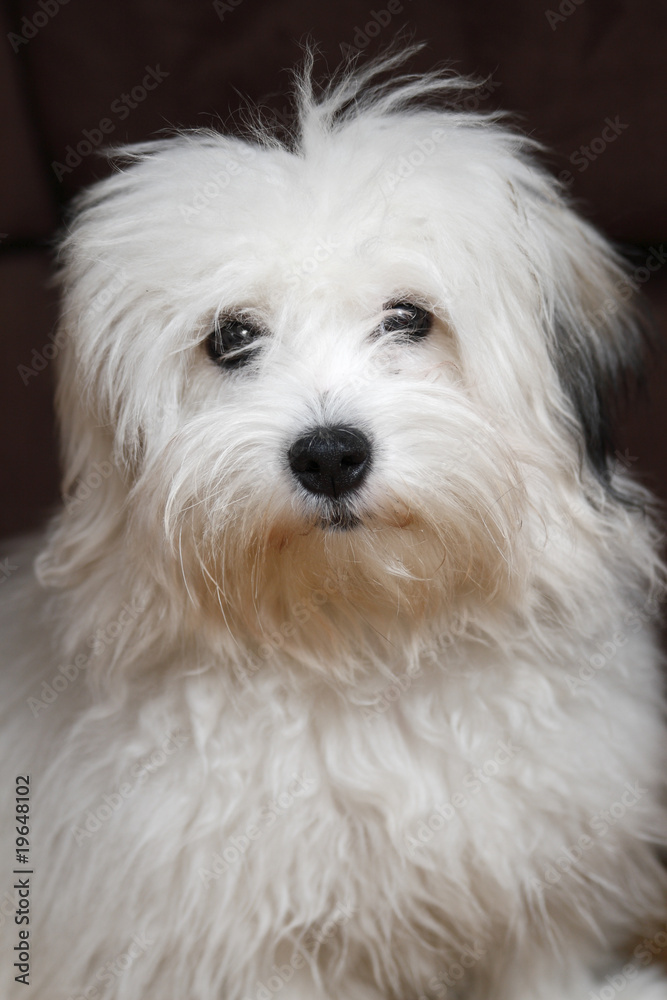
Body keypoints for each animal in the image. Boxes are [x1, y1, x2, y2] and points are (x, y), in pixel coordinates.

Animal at [1, 50, 667, 1000]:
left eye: (409, 318)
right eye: (230, 338)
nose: (327, 455)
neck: (361, 641)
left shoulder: (540, 907)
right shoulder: (236, 952)